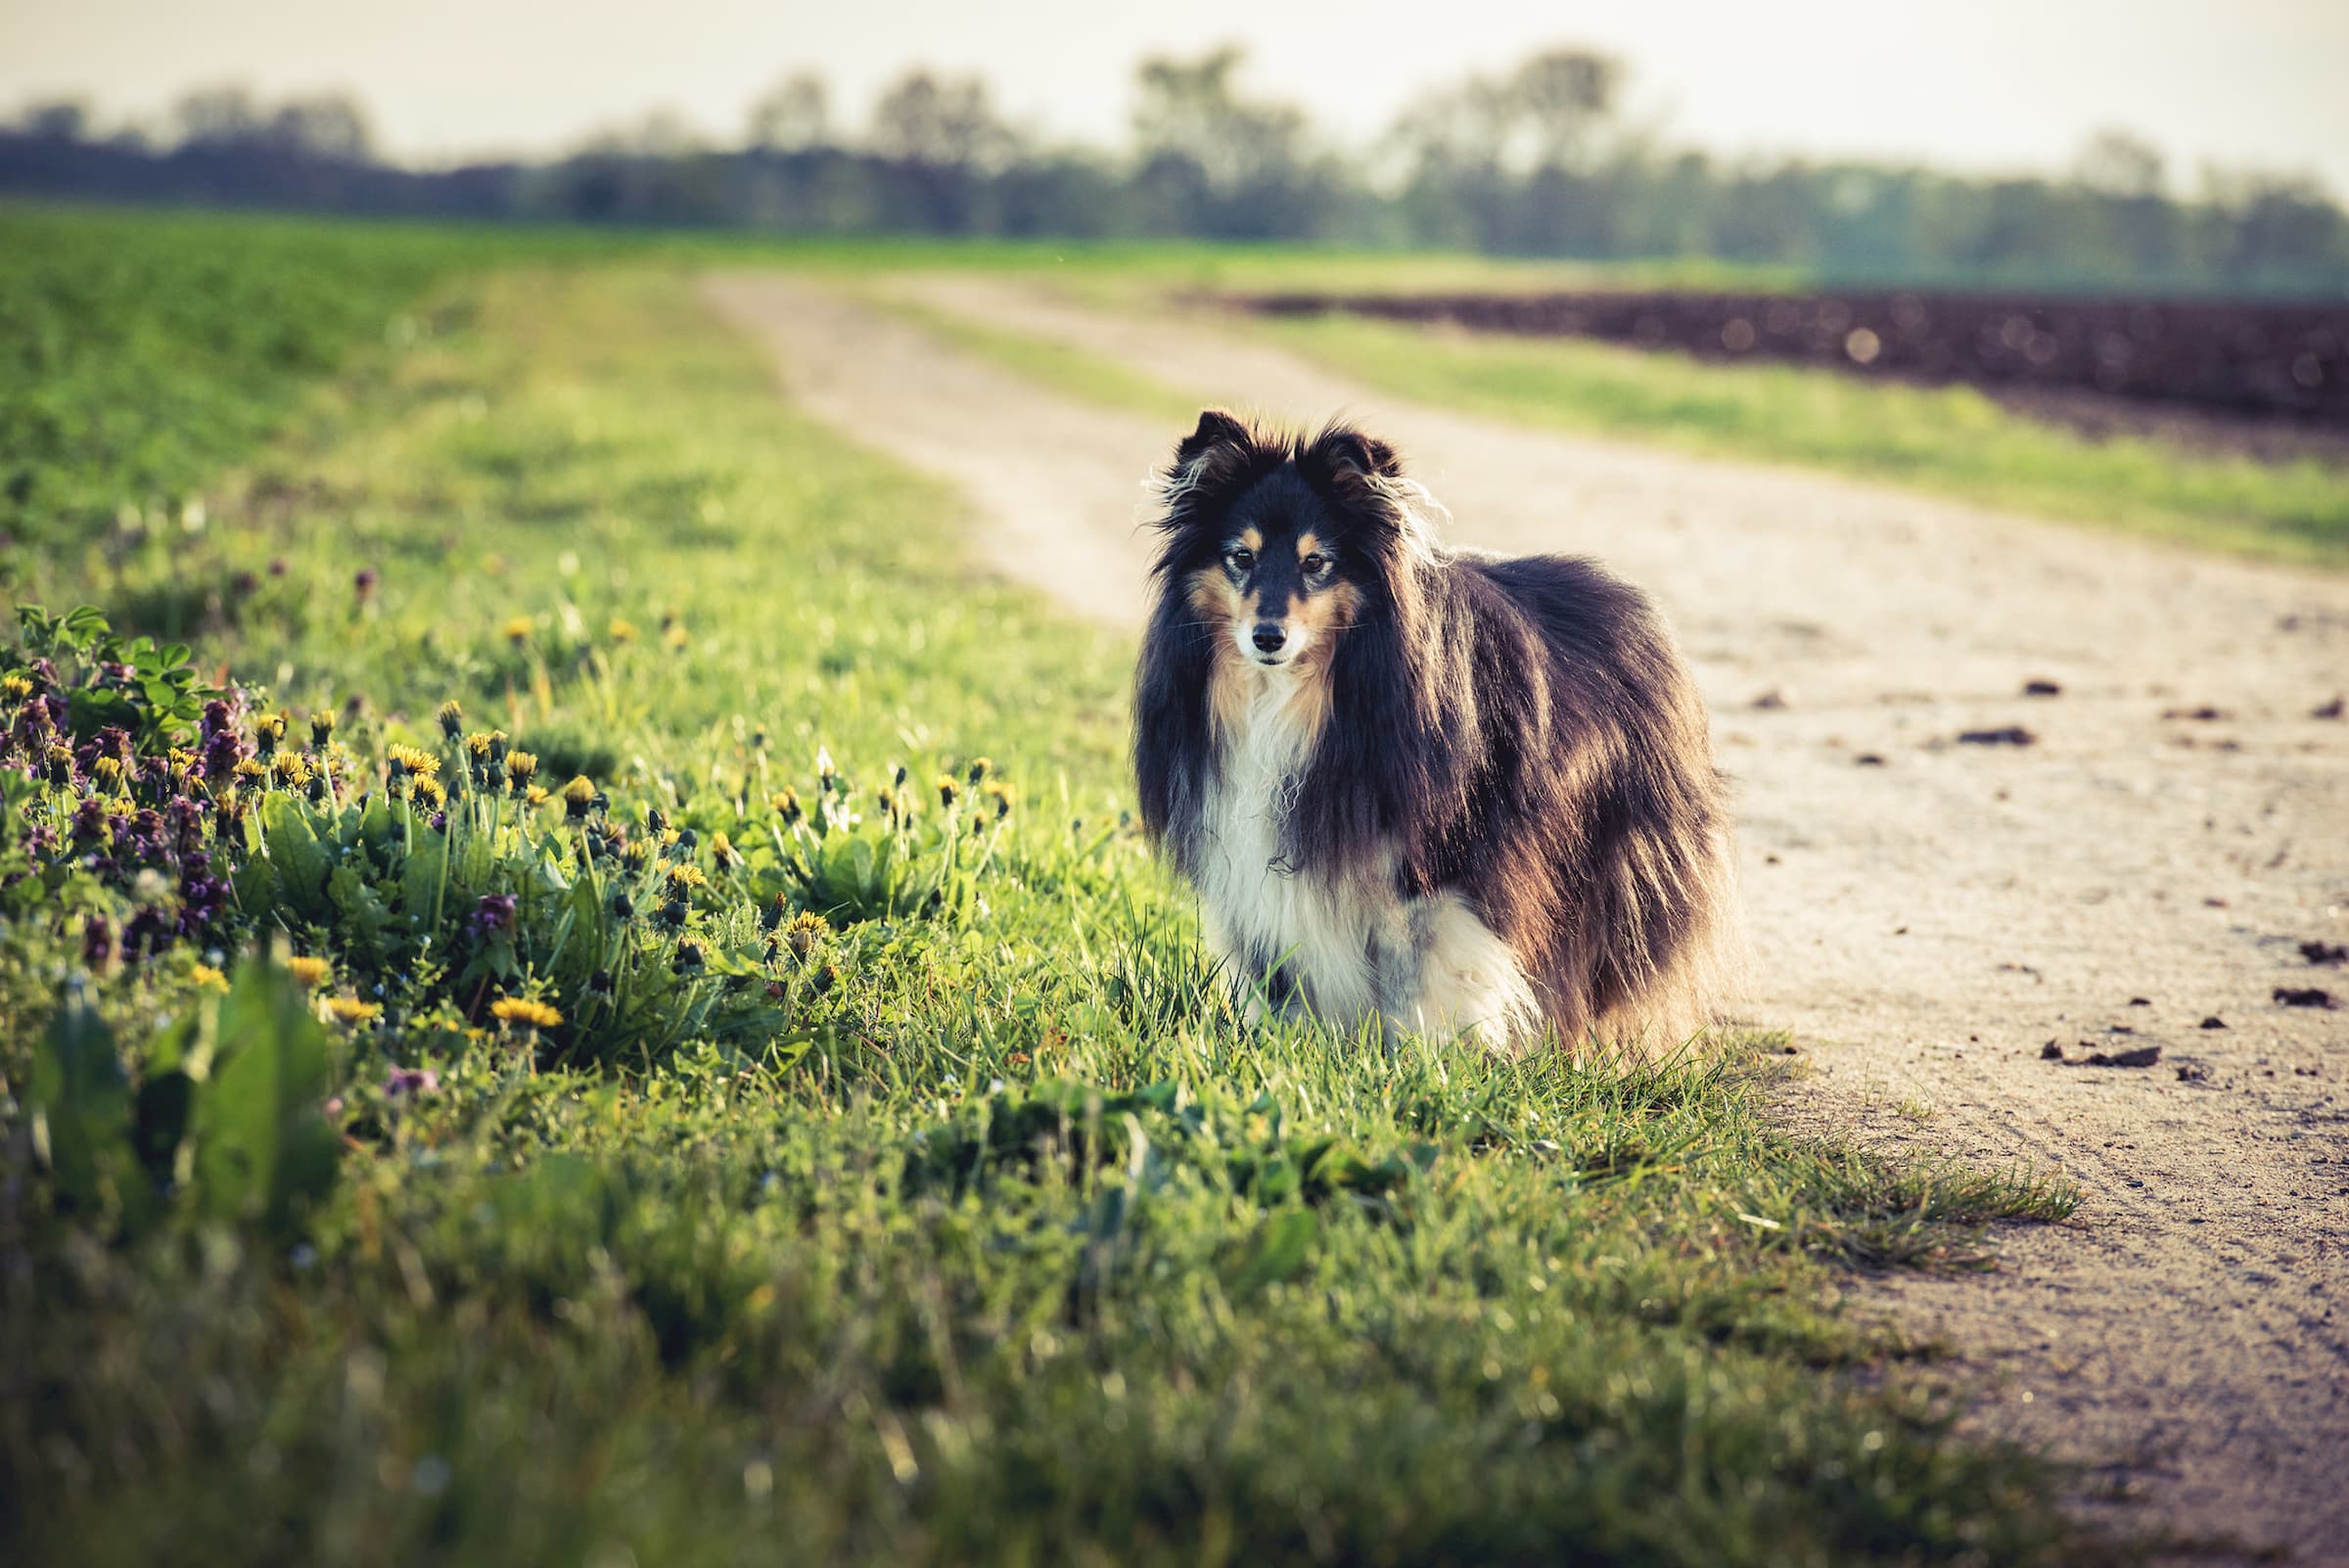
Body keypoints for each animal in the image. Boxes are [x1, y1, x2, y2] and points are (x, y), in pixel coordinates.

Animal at [1128, 410, 1738, 1060]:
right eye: (1240, 556)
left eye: (1317, 563)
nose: (1268, 637)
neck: (1302, 699)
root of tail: (1640, 608)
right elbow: (1283, 967)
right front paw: (1291, 1044)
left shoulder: (1433, 862)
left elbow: (1422, 973)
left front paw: (1426, 1060)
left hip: (1615, 866)